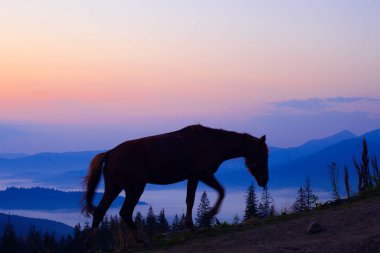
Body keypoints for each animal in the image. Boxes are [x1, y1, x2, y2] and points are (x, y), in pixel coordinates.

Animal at [82, 124, 268, 241]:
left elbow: (213, 193)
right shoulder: (199, 175)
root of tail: (110, 153)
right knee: (125, 212)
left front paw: (202, 219)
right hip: (134, 187)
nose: (264, 180)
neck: (212, 143)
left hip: (114, 186)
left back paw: (91, 244)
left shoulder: (200, 176)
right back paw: (142, 239)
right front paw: (200, 220)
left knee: (100, 212)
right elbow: (194, 199)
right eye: (263, 155)